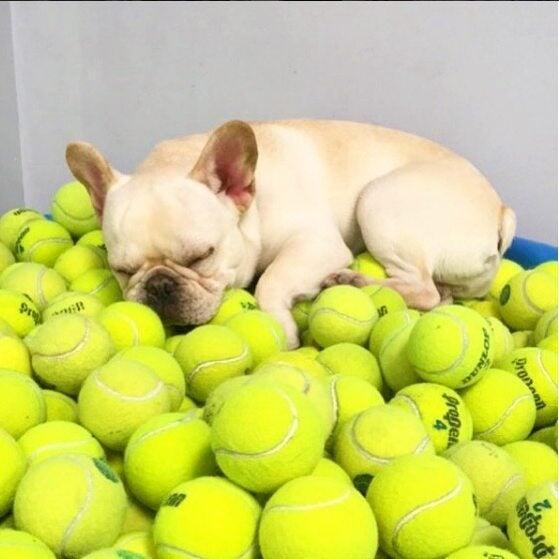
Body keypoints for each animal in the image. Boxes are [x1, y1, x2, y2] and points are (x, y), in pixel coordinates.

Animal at [66, 119, 516, 348]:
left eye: (202, 256)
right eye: (123, 270)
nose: (159, 286)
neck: (252, 205)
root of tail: (501, 211)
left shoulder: (315, 245)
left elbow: (270, 282)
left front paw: (283, 332)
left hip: (377, 200)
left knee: (422, 287)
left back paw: (354, 280)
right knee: (438, 295)